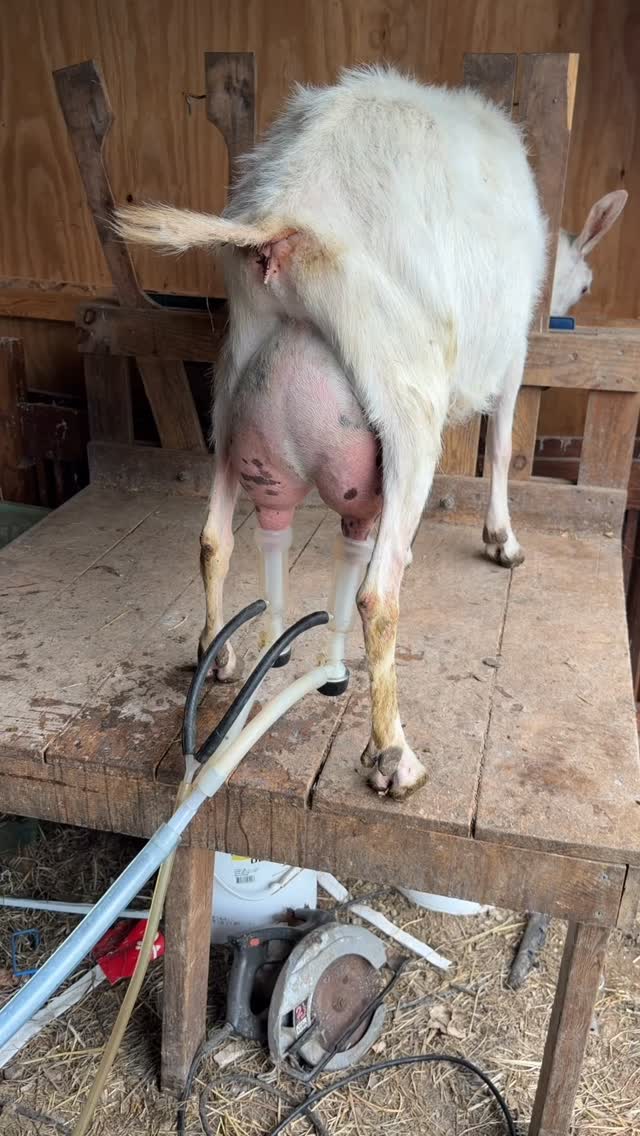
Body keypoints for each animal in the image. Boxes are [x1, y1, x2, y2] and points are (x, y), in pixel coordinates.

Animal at [116, 67, 616, 800]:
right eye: (580, 287)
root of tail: (286, 211)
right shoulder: (512, 351)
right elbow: (500, 445)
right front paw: (503, 539)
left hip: (233, 389)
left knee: (214, 538)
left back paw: (221, 651)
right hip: (406, 398)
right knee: (379, 593)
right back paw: (393, 755)